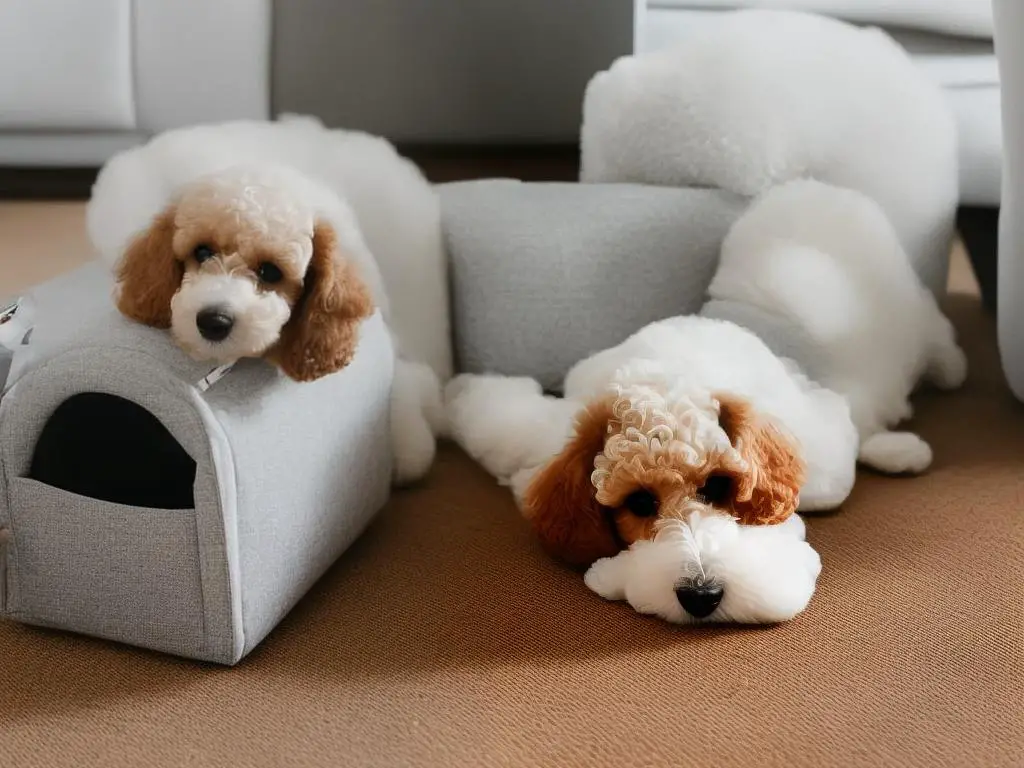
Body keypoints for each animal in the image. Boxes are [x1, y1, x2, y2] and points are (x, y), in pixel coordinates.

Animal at [444, 180, 962, 626]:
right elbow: (502, 428)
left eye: (717, 486)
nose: (701, 595)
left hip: (906, 313)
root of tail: (812, 188)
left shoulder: (818, 452)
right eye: (639, 502)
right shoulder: (547, 438)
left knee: (930, 334)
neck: (670, 374)